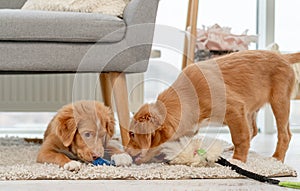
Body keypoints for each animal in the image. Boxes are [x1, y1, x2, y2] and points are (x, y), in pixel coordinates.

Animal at [126, 49, 300, 164]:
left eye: (132, 134)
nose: (126, 152)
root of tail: (283, 56)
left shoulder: (234, 109)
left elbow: (240, 137)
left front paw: (238, 161)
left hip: (279, 101)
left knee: (285, 134)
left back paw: (277, 158)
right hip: (252, 108)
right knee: (254, 130)